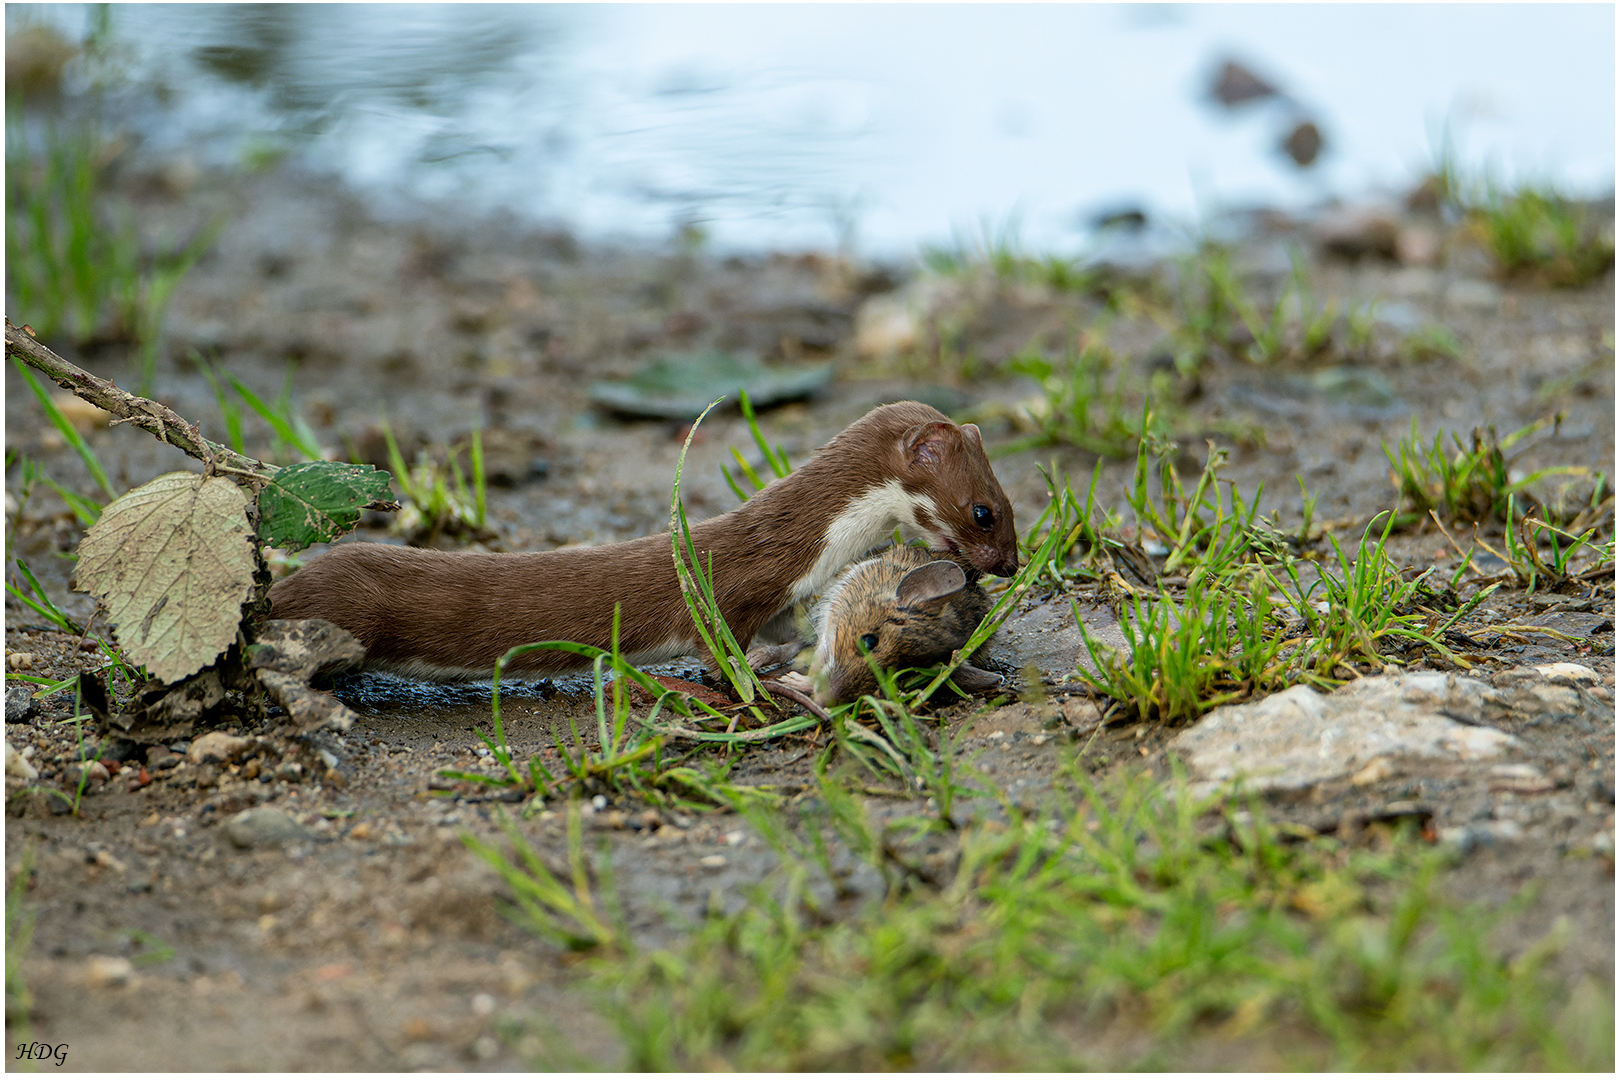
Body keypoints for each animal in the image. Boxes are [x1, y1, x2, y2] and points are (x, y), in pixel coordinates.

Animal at [270, 401, 1017, 680]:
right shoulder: (730, 589)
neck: (810, 552)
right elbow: (717, 649)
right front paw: (758, 679)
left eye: (1011, 505)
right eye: (984, 512)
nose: (1010, 564)